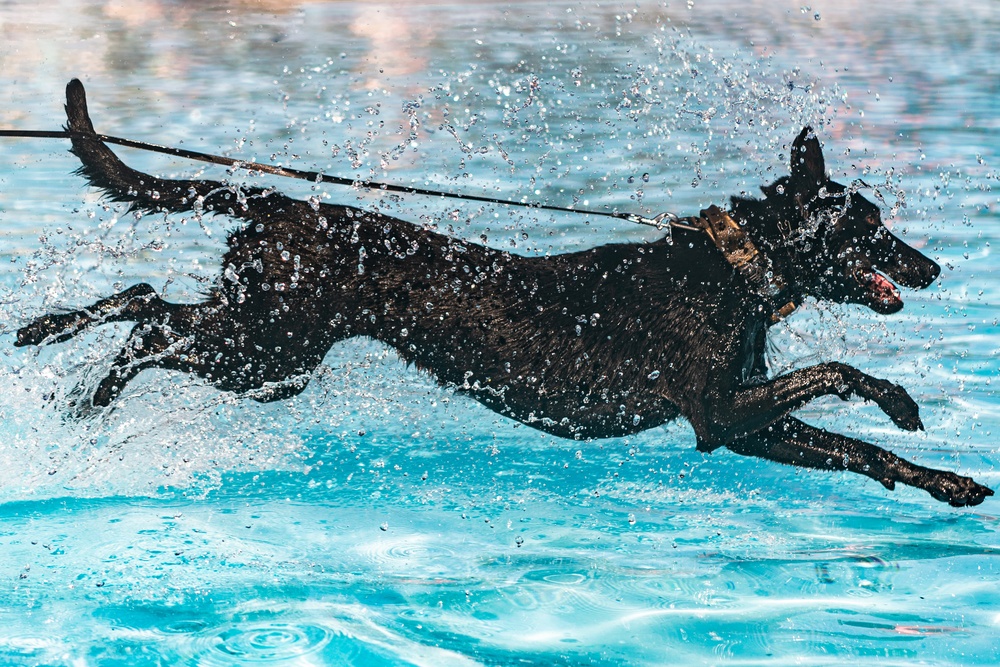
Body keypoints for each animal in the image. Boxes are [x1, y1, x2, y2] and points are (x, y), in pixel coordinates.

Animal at [15, 78, 992, 506]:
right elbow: (838, 372)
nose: (931, 268)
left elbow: (857, 448)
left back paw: (57, 357)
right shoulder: (718, 409)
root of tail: (281, 203)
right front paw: (900, 397)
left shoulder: (744, 425)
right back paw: (81, 381)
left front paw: (944, 480)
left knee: (145, 299)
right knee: (148, 321)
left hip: (265, 350)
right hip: (262, 350)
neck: (731, 267)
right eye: (869, 226)